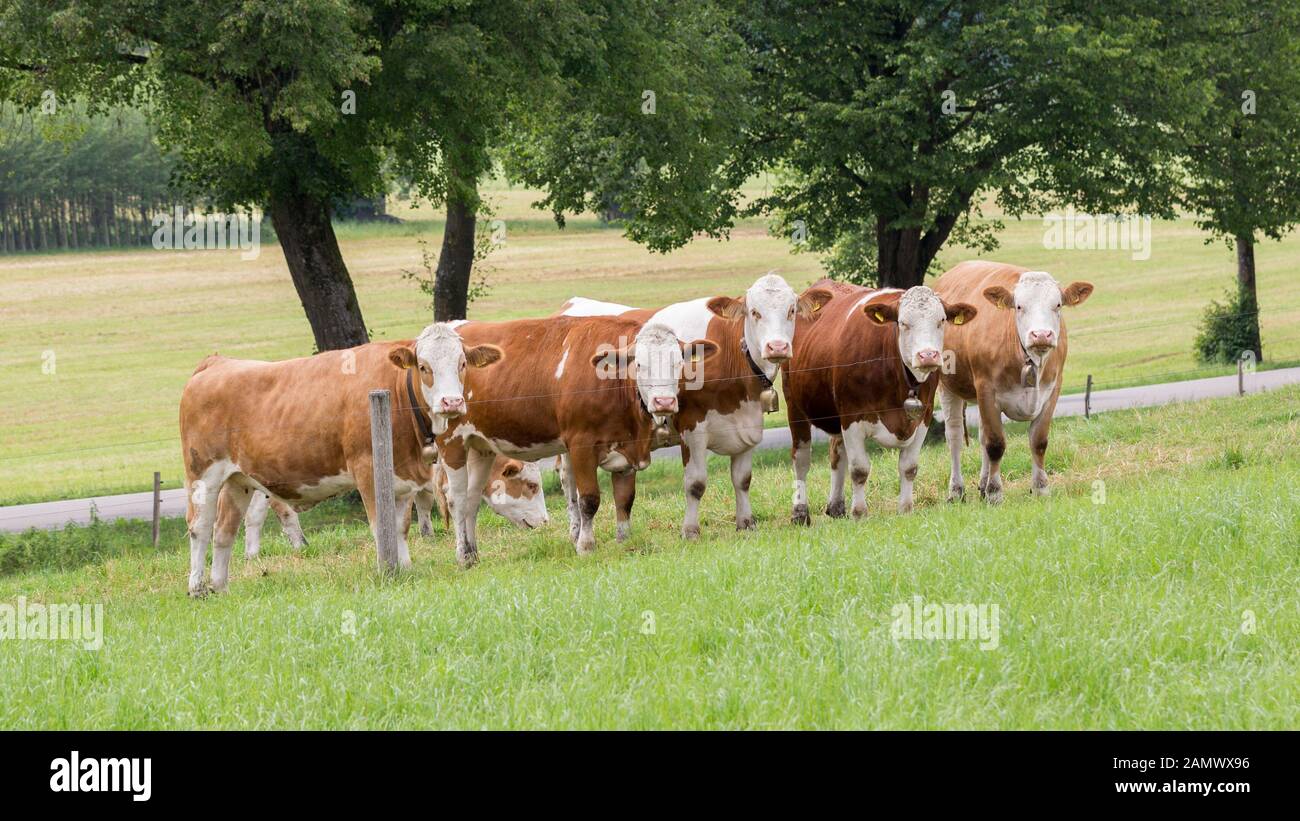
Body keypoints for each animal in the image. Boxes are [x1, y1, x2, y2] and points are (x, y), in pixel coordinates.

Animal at [179, 323, 503, 595]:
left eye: (462, 364)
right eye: (424, 367)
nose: (452, 402)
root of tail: (216, 362)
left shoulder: (401, 477)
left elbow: (399, 526)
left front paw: (405, 567)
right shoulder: (367, 467)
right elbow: (380, 526)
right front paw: (388, 571)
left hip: (238, 480)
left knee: (224, 530)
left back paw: (220, 586)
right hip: (203, 474)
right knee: (200, 528)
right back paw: (197, 588)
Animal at [436, 316, 718, 565]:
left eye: (678, 363)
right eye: (639, 365)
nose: (664, 402)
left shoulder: (625, 450)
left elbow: (625, 499)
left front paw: (624, 541)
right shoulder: (581, 446)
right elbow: (589, 500)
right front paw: (586, 546)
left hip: (480, 448)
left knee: (471, 500)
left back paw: (473, 554)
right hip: (452, 442)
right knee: (457, 500)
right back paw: (462, 557)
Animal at [557, 273, 833, 538]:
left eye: (791, 310)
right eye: (754, 312)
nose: (777, 347)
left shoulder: (748, 423)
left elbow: (743, 479)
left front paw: (746, 524)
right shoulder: (692, 426)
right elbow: (696, 483)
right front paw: (690, 530)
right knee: (569, 481)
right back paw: (575, 531)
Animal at [782, 281, 978, 522]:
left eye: (941, 320)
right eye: (903, 323)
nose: (928, 355)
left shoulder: (923, 417)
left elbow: (909, 467)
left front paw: (906, 509)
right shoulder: (852, 418)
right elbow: (859, 469)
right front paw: (859, 513)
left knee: (836, 453)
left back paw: (836, 506)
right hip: (795, 406)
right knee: (801, 459)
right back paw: (800, 513)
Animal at [932, 261, 1094, 503]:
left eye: (1057, 305)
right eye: (1019, 306)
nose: (1041, 335)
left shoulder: (1052, 391)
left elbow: (1038, 441)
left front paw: (1040, 488)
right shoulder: (986, 390)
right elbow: (996, 444)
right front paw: (995, 493)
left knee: (981, 435)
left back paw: (982, 484)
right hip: (948, 385)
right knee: (954, 437)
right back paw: (956, 491)